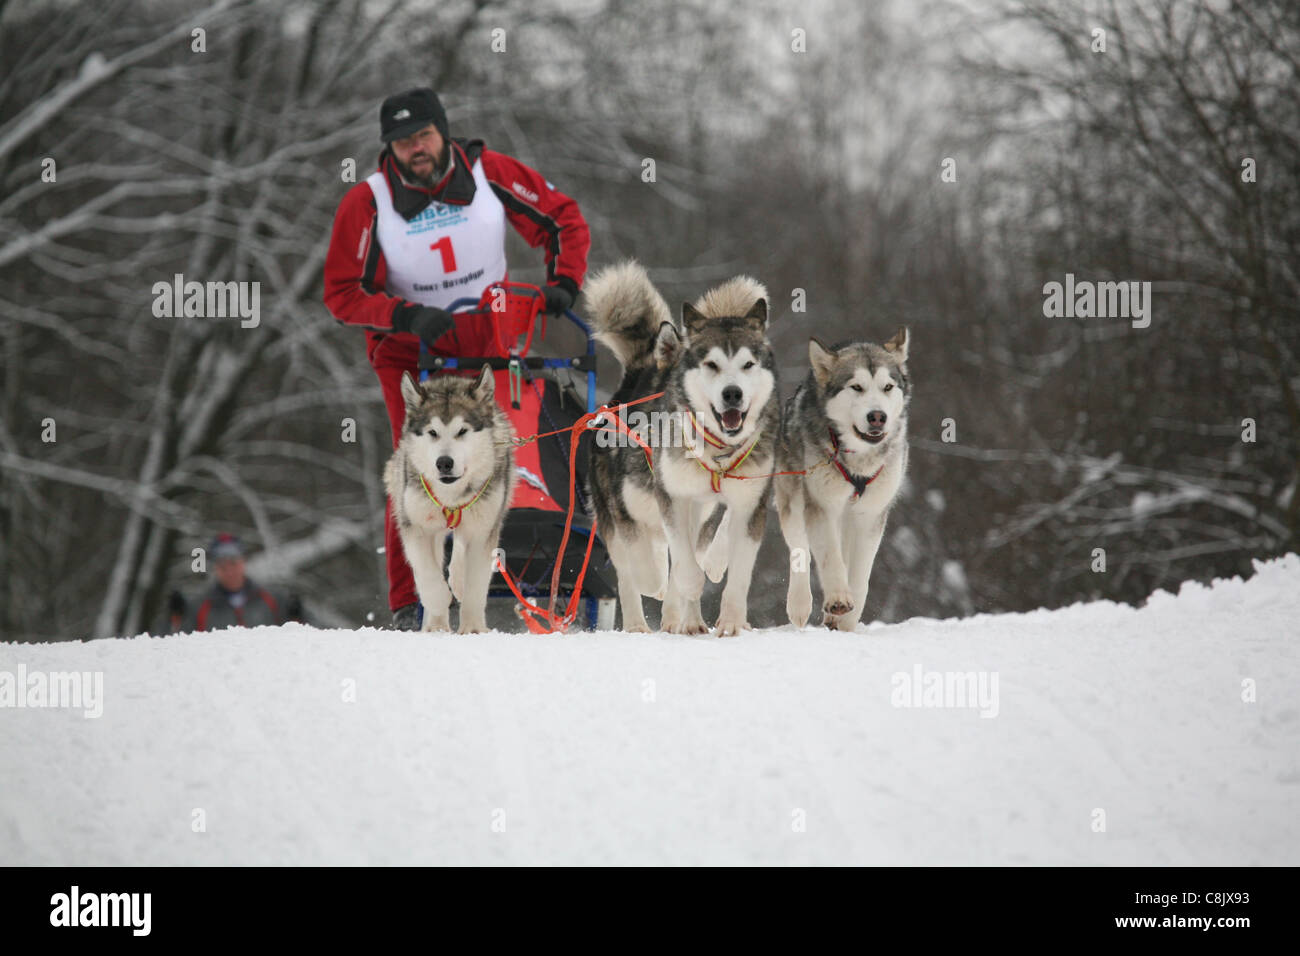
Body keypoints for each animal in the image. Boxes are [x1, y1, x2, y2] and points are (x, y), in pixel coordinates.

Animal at [379, 369, 512, 632]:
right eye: (433, 432)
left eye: (462, 431)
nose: (444, 463)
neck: (451, 496)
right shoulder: (416, 526)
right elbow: (427, 573)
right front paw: (439, 601)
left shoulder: (483, 530)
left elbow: (475, 585)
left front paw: (472, 628)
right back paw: (436, 625)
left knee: (459, 548)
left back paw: (457, 581)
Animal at [585, 261, 774, 634]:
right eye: (708, 367)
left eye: (747, 365)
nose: (732, 394)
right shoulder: (632, 511)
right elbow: (647, 570)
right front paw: (657, 583)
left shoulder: (721, 505)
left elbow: (695, 563)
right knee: (630, 575)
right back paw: (639, 622)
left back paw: (685, 619)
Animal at [774, 332, 909, 632]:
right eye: (856, 387)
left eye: (887, 387)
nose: (877, 416)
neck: (858, 460)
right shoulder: (821, 505)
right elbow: (830, 558)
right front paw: (837, 598)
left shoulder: (871, 515)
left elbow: (859, 573)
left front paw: (847, 618)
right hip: (794, 501)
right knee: (800, 549)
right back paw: (799, 604)